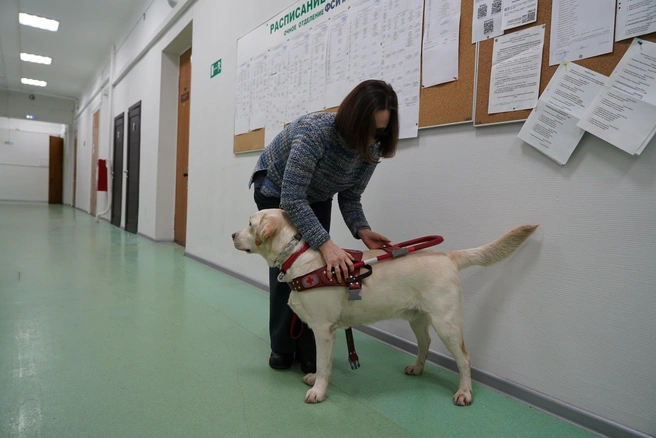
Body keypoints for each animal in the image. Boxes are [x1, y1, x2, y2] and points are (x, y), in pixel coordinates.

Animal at [232, 210, 540, 406]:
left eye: (250, 223)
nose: (233, 234)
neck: (299, 258)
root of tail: (448, 256)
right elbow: (320, 362)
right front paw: (314, 379)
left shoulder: (324, 329)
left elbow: (323, 362)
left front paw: (319, 391)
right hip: (418, 319)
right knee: (425, 343)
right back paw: (417, 367)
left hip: (447, 322)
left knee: (464, 358)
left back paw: (465, 393)